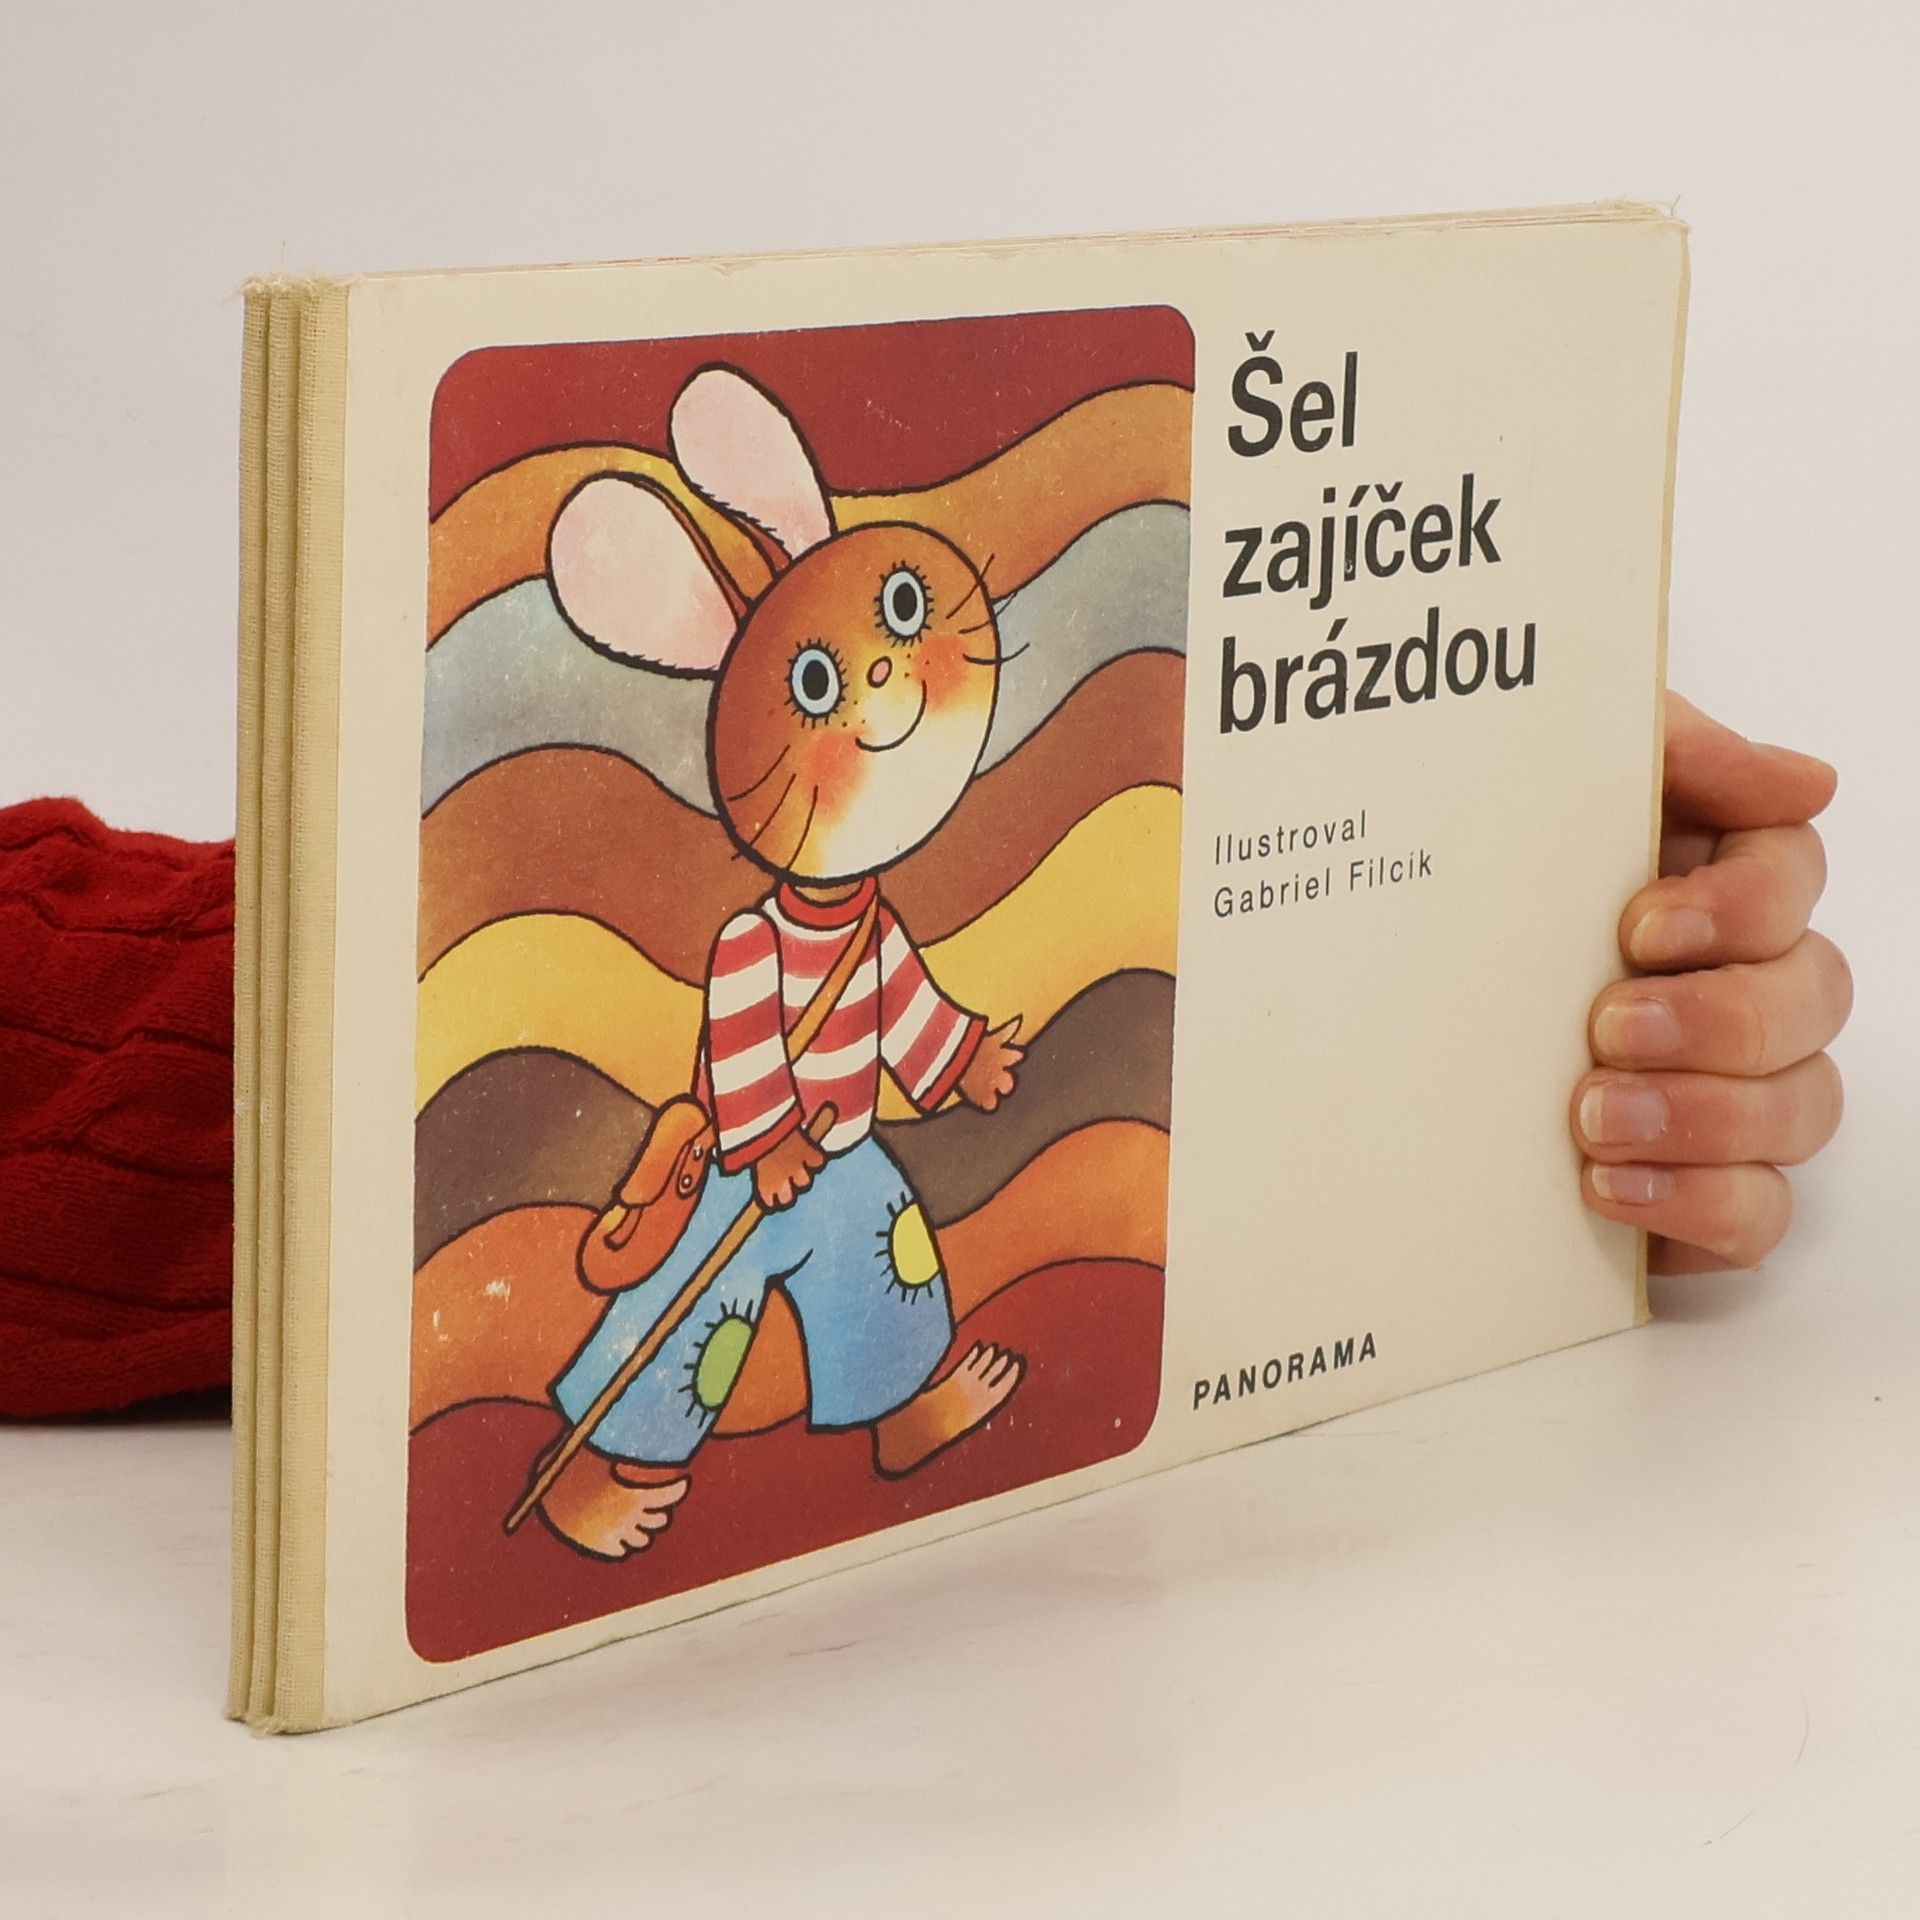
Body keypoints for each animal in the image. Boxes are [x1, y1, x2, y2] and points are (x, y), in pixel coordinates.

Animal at [530, 365, 1028, 1560]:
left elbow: (920, 1023)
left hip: (867, 1228)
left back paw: (940, 1411)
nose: (887, 667)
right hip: (700, 1246)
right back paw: (589, 1503)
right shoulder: (742, 962)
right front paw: (786, 1145)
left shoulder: (887, 945)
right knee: (659, 1359)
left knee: (887, 1305)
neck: (829, 903)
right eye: (809, 681)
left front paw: (978, 1064)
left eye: (903, 602)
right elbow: (754, 1045)